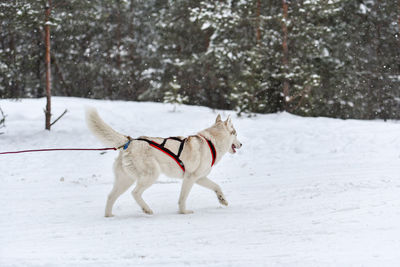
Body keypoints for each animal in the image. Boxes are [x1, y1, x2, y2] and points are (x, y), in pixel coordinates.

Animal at [86, 108, 242, 217]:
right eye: (235, 133)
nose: (241, 144)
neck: (211, 142)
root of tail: (130, 142)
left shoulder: (200, 178)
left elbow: (217, 186)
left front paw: (222, 200)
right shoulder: (190, 178)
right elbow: (182, 198)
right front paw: (183, 212)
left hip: (125, 180)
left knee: (111, 196)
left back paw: (109, 215)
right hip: (151, 175)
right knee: (135, 193)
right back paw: (146, 209)